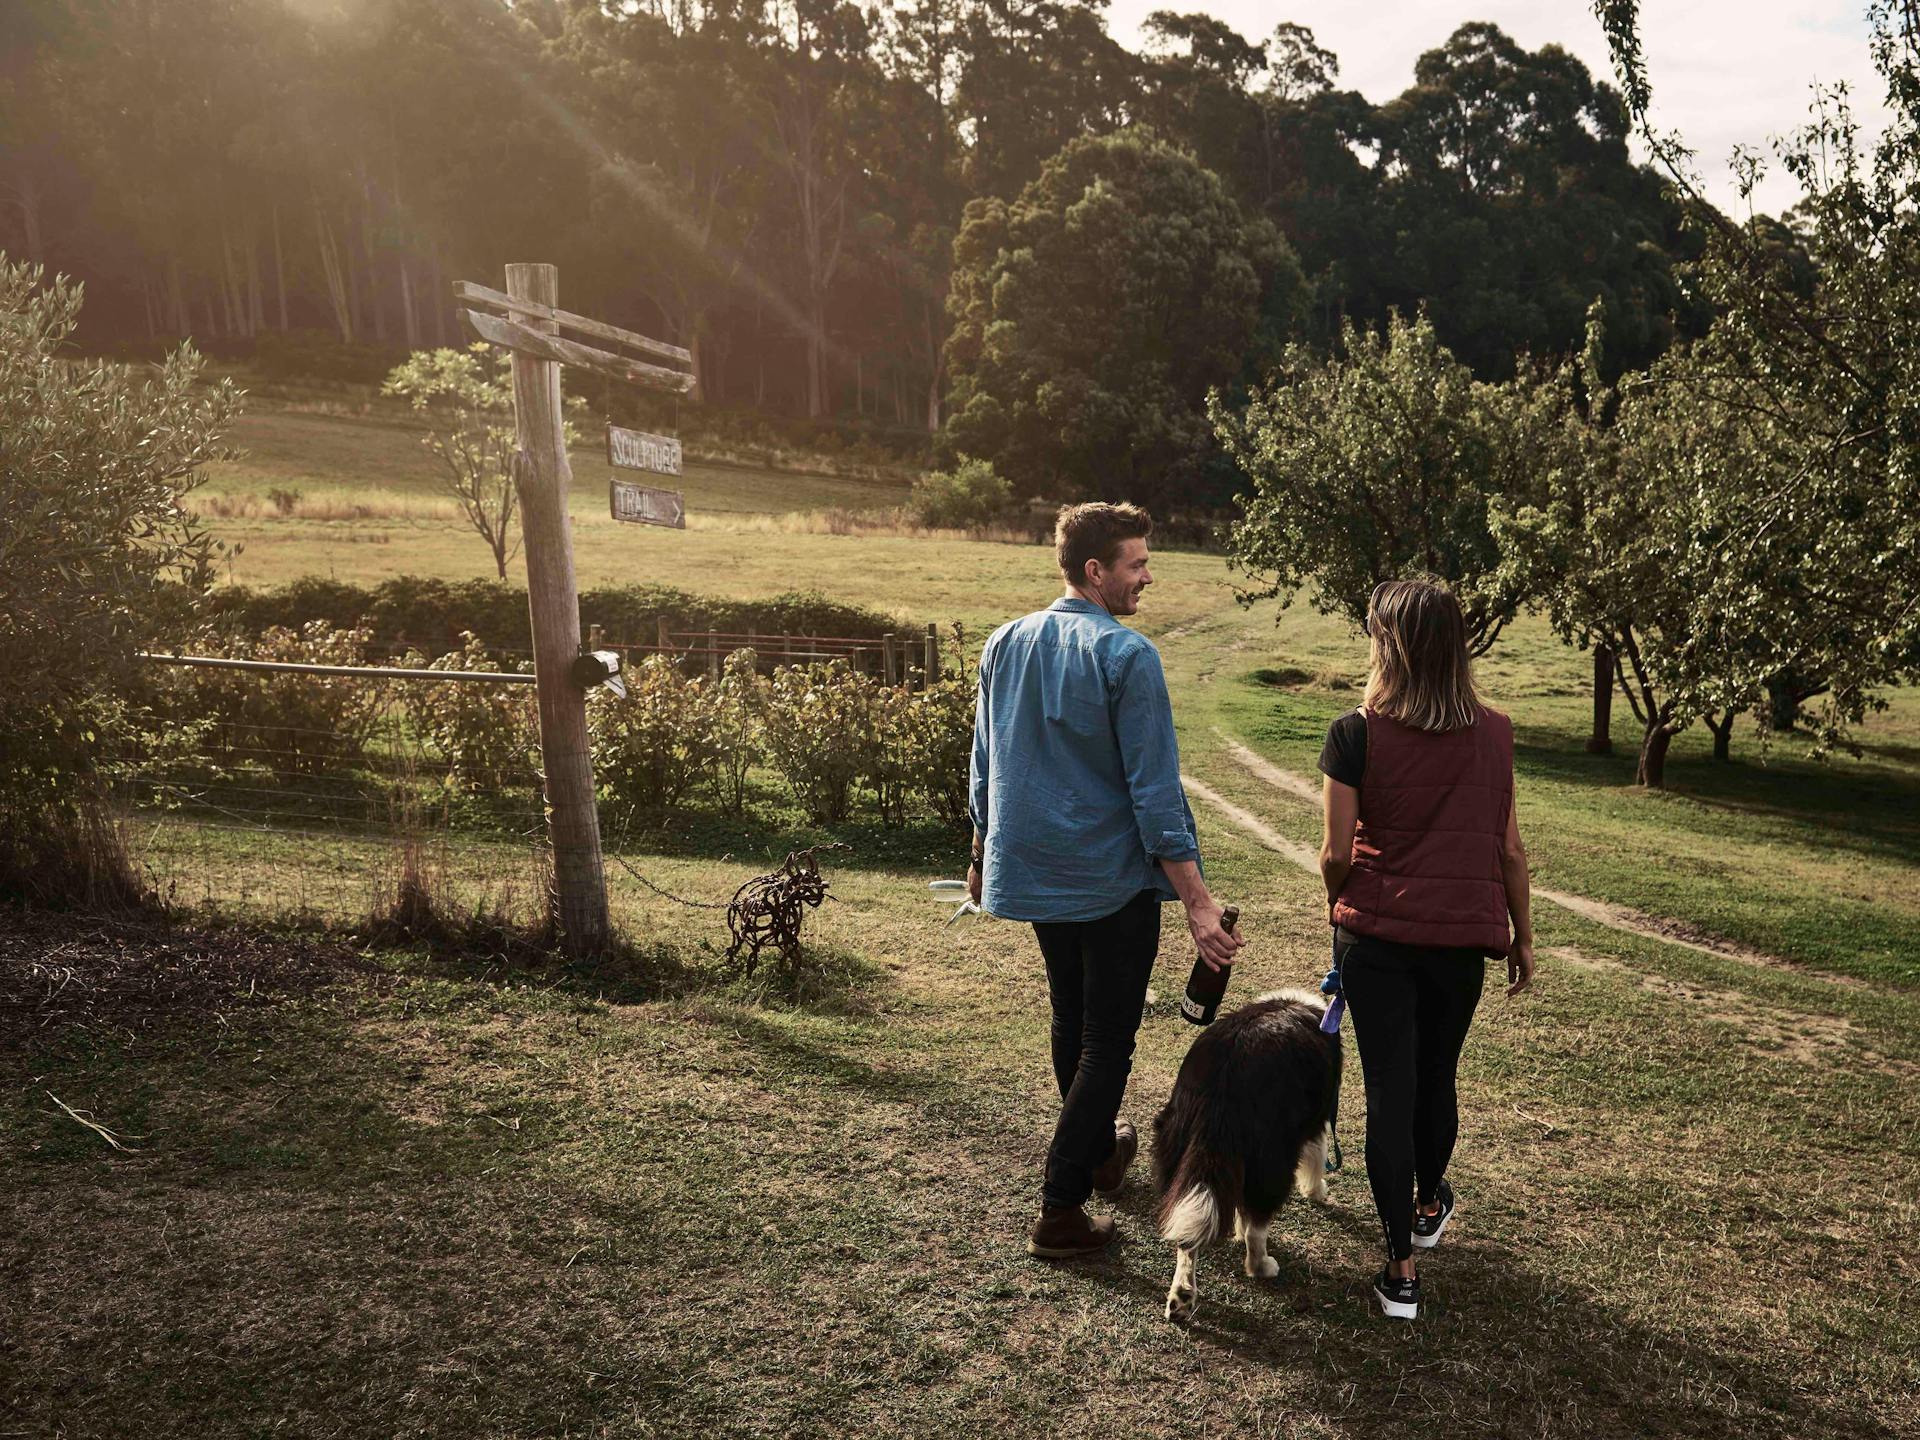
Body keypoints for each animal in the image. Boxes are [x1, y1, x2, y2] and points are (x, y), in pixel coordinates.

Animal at [1152, 988, 1342, 1323]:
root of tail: (1222, 1086)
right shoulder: (1316, 1118)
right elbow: (1318, 1157)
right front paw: (1318, 1191)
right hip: (1272, 1160)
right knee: (1258, 1226)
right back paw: (1262, 1266)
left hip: (1175, 1147)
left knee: (1185, 1235)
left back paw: (1182, 1297)